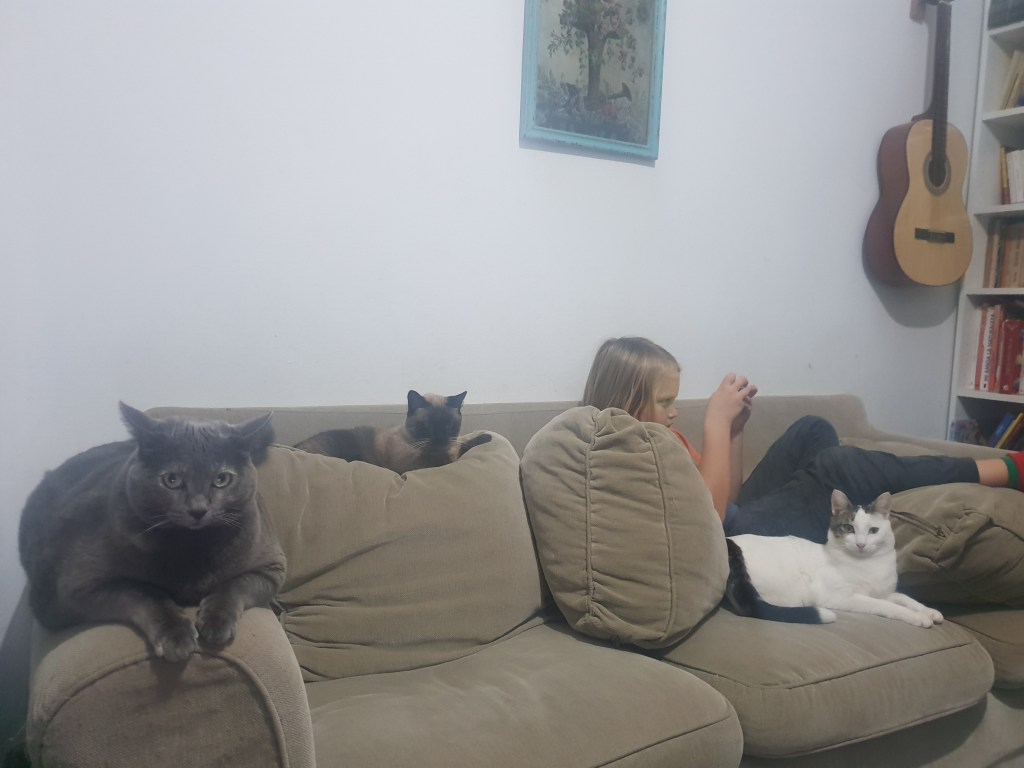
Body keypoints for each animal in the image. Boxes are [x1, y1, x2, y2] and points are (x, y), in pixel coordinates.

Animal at [18, 402, 286, 662]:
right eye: (172, 480)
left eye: (221, 479)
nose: (198, 509)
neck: (192, 547)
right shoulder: (71, 589)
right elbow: (142, 591)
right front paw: (176, 636)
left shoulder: (272, 567)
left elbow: (236, 584)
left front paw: (216, 622)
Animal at [293, 389, 491, 473]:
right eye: (426, 426)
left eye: (449, 425)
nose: (440, 438)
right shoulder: (411, 464)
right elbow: (454, 454)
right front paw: (486, 437)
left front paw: (484, 437)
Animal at [722, 489, 943, 628]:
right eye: (848, 528)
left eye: (873, 530)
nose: (861, 544)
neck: (870, 565)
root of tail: (729, 543)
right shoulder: (843, 597)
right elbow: (887, 606)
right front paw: (917, 617)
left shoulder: (885, 592)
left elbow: (904, 598)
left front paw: (929, 611)